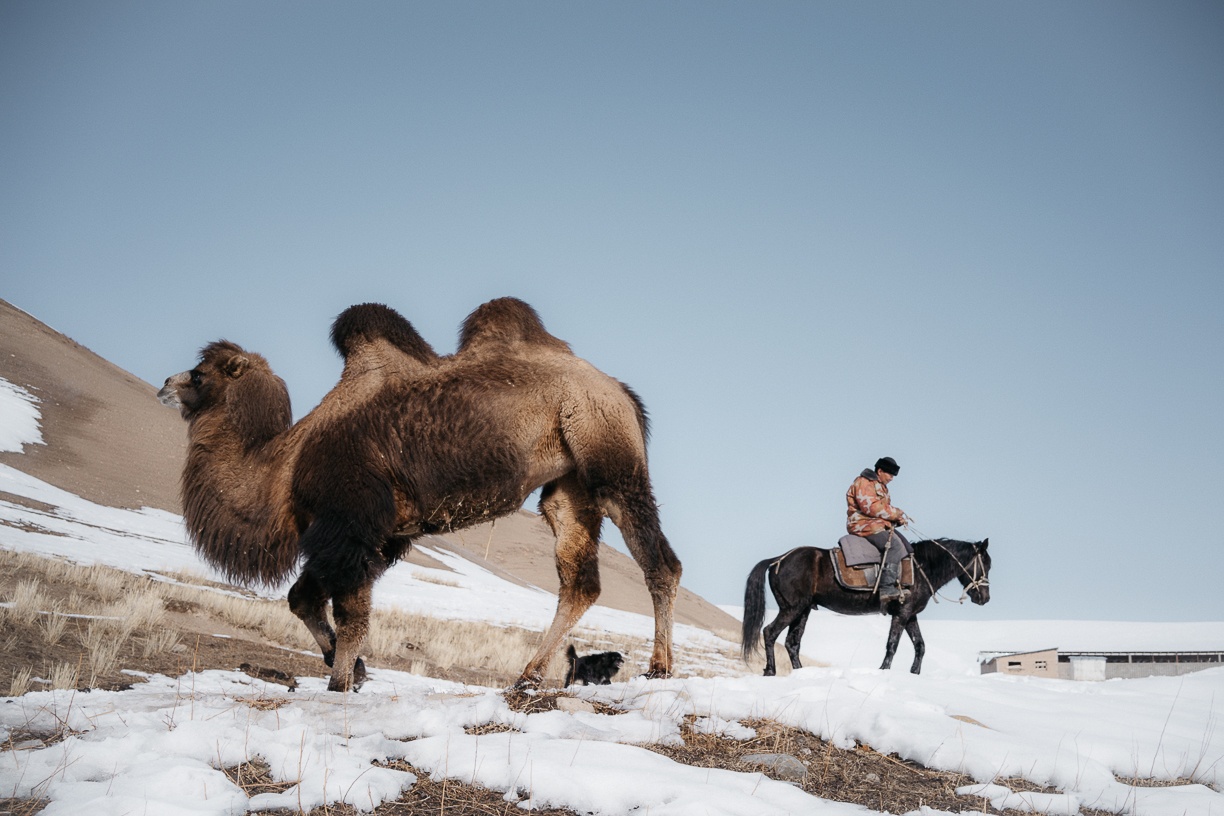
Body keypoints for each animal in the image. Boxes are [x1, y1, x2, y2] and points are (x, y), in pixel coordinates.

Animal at [739, 535, 988, 675]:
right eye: (985, 563)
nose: (984, 598)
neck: (922, 567)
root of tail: (778, 560)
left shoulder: (910, 615)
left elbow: (920, 645)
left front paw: (914, 673)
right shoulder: (902, 614)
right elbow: (892, 645)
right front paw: (883, 671)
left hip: (803, 610)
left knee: (792, 643)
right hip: (791, 608)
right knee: (770, 632)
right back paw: (770, 670)